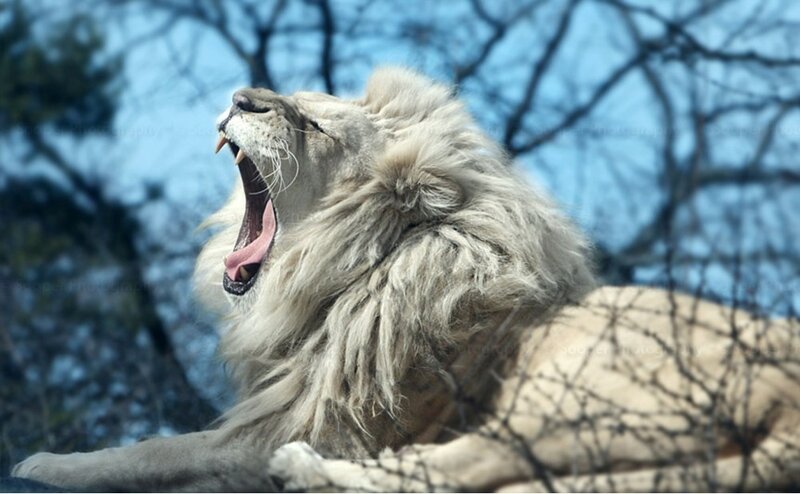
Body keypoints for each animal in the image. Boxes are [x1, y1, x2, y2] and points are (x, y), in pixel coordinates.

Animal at [12, 68, 800, 492]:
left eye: (315, 126)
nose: (242, 97)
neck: (345, 274)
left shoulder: (287, 427)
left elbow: (155, 451)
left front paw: (46, 460)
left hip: (569, 393)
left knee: (459, 467)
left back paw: (305, 473)